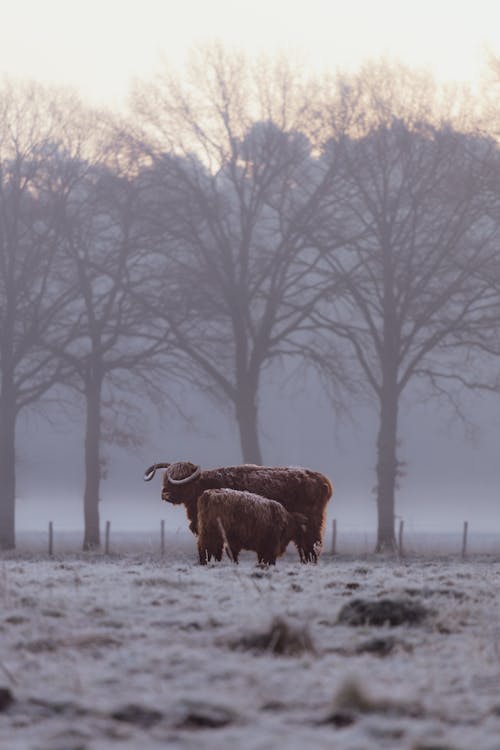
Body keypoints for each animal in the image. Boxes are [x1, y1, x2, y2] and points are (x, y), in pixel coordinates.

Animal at [143, 462, 334, 560]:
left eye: (182, 477)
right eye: (165, 478)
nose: (165, 493)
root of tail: (323, 480)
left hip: (311, 526)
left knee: (312, 547)